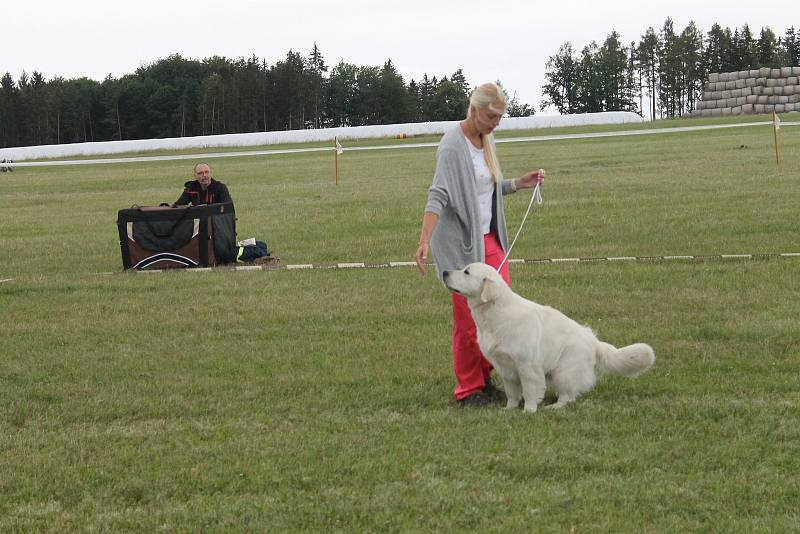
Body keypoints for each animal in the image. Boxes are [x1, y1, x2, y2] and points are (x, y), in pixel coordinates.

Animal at [444, 264, 656, 414]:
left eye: (466, 272)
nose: (445, 272)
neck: (495, 313)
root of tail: (594, 341)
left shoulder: (527, 365)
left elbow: (530, 390)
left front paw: (528, 411)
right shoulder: (506, 367)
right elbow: (512, 392)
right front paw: (509, 410)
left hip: (564, 371)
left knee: (568, 397)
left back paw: (554, 407)